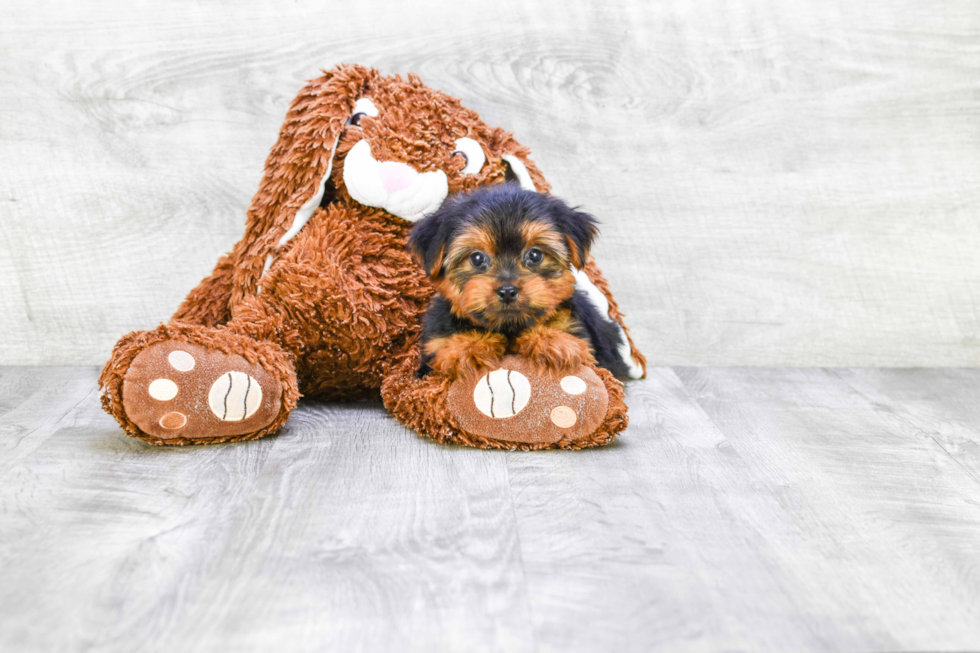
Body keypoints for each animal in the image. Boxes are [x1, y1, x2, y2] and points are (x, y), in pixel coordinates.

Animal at [406, 183, 628, 382]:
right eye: (477, 258)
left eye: (535, 255)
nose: (507, 291)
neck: (508, 327)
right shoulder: (434, 348)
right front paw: (467, 346)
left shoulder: (574, 328)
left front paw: (551, 340)